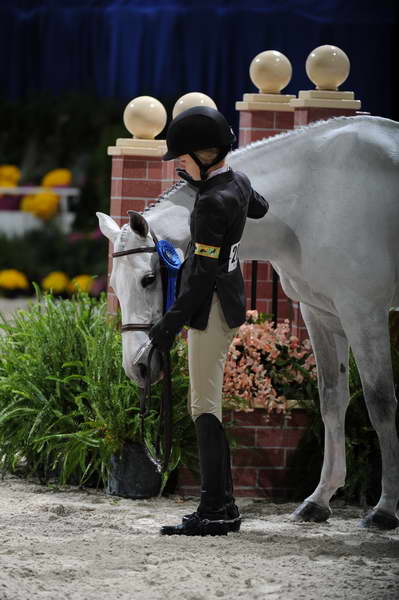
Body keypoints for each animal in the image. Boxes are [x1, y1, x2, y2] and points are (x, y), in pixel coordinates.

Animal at [97, 113, 399, 528]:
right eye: (114, 286)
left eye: (148, 279)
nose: (137, 367)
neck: (314, 195)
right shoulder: (322, 312)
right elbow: (332, 399)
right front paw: (319, 500)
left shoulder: (363, 310)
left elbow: (380, 401)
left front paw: (385, 509)